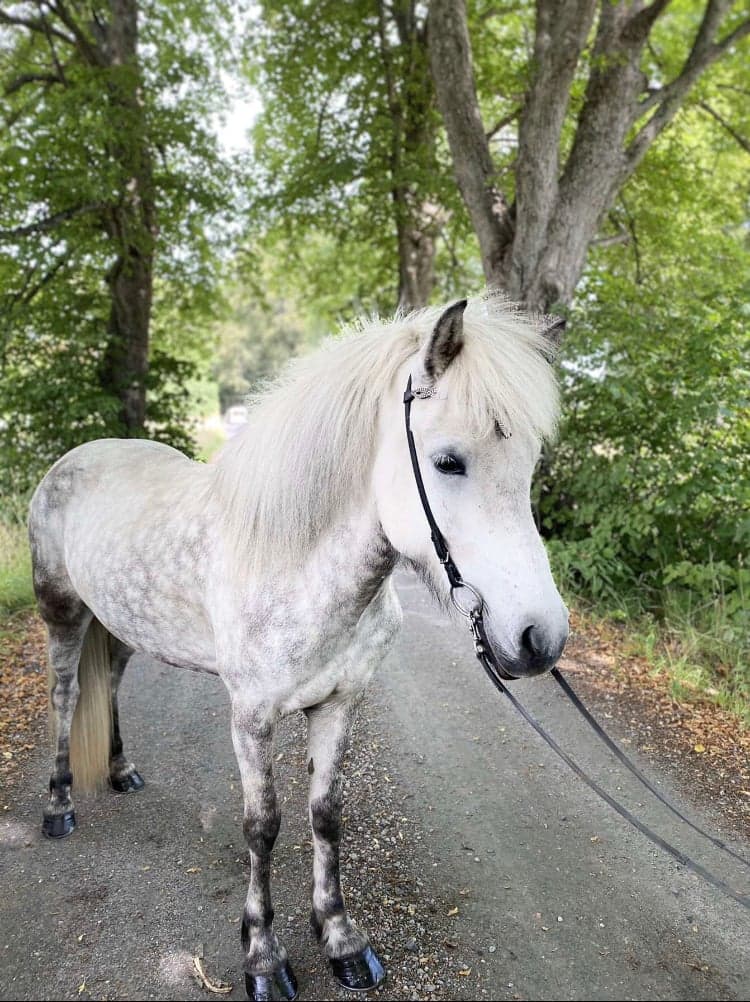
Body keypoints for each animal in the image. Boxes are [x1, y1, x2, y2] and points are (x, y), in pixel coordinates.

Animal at [30, 298, 568, 1002]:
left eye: (530, 462)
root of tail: (73, 458)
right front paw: (263, 958)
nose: (542, 639)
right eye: (449, 461)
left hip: (120, 626)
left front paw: (340, 941)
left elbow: (326, 814)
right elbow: (263, 826)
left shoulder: (339, 703)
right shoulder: (251, 718)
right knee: (67, 697)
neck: (294, 560)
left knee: (111, 685)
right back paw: (59, 805)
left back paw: (121, 772)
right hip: (63, 614)